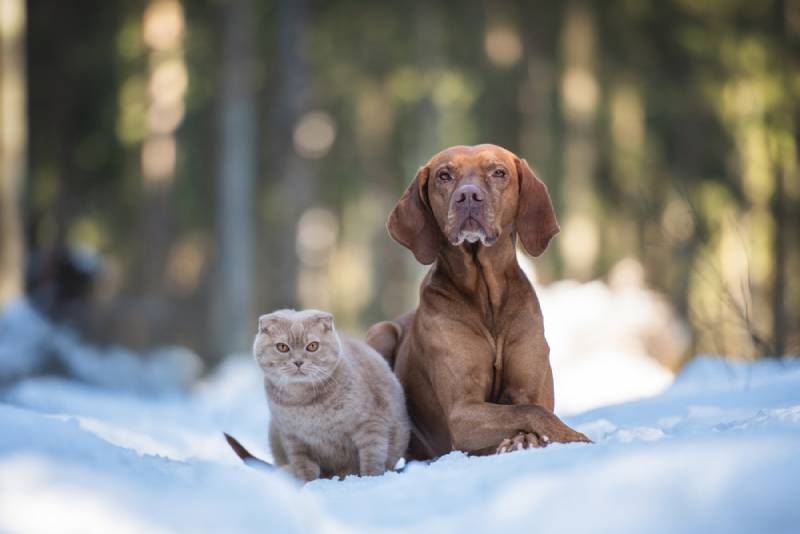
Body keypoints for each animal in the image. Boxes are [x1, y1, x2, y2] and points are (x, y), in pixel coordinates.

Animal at [252, 310, 410, 482]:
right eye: (282, 347)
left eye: (312, 346)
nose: (298, 362)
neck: (303, 403)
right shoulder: (293, 438)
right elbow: (303, 466)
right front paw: (306, 483)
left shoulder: (371, 423)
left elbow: (372, 456)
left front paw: (370, 479)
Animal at [368, 144, 588, 462]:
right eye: (444, 175)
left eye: (499, 172)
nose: (468, 196)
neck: (486, 296)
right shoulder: (462, 413)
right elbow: (530, 412)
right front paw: (572, 437)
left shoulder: (530, 389)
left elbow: (531, 407)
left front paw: (530, 440)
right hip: (380, 333)